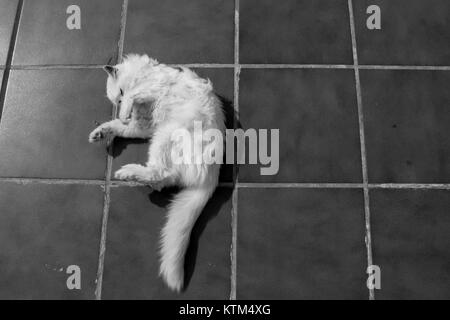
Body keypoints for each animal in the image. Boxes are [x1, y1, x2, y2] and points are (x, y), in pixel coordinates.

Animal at [89, 53, 225, 292]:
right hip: (160, 138)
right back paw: (132, 175)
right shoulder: (143, 128)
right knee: (163, 179)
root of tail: (210, 180)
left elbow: (133, 97)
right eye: (116, 100)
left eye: (120, 96)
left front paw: (122, 115)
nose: (125, 112)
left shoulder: (149, 91)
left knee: (160, 174)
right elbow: (119, 126)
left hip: (165, 134)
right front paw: (101, 131)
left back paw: (128, 173)